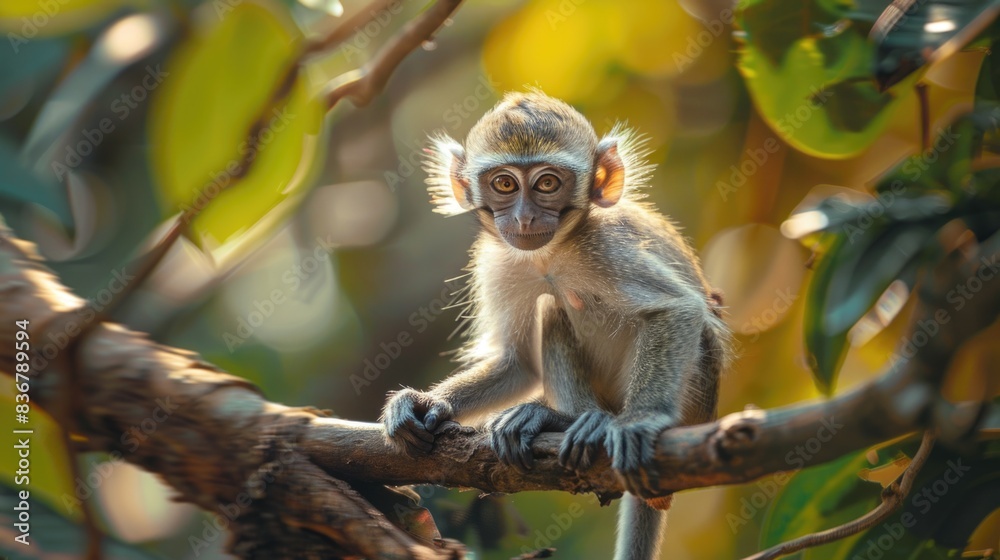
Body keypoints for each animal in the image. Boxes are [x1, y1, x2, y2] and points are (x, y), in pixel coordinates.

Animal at [381, 91, 731, 560]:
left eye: (547, 184)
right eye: (505, 184)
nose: (525, 218)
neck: (551, 255)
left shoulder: (607, 246)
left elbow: (676, 309)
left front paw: (641, 421)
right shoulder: (497, 262)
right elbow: (518, 364)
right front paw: (425, 403)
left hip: (695, 392)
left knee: (557, 306)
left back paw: (573, 421)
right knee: (552, 309)